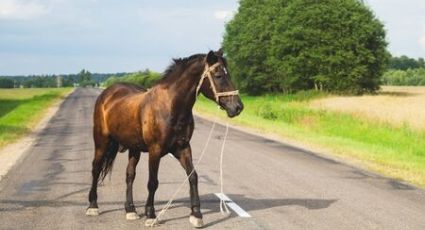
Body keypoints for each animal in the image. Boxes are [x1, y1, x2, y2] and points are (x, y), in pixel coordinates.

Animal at [85, 49, 242, 227]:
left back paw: (130, 210)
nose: (238, 107)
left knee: (130, 175)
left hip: (134, 148)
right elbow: (153, 182)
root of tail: (107, 94)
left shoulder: (183, 148)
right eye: (219, 75)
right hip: (101, 141)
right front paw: (151, 214)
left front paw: (196, 214)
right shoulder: (155, 150)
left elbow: (193, 176)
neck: (170, 107)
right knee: (96, 169)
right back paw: (93, 206)